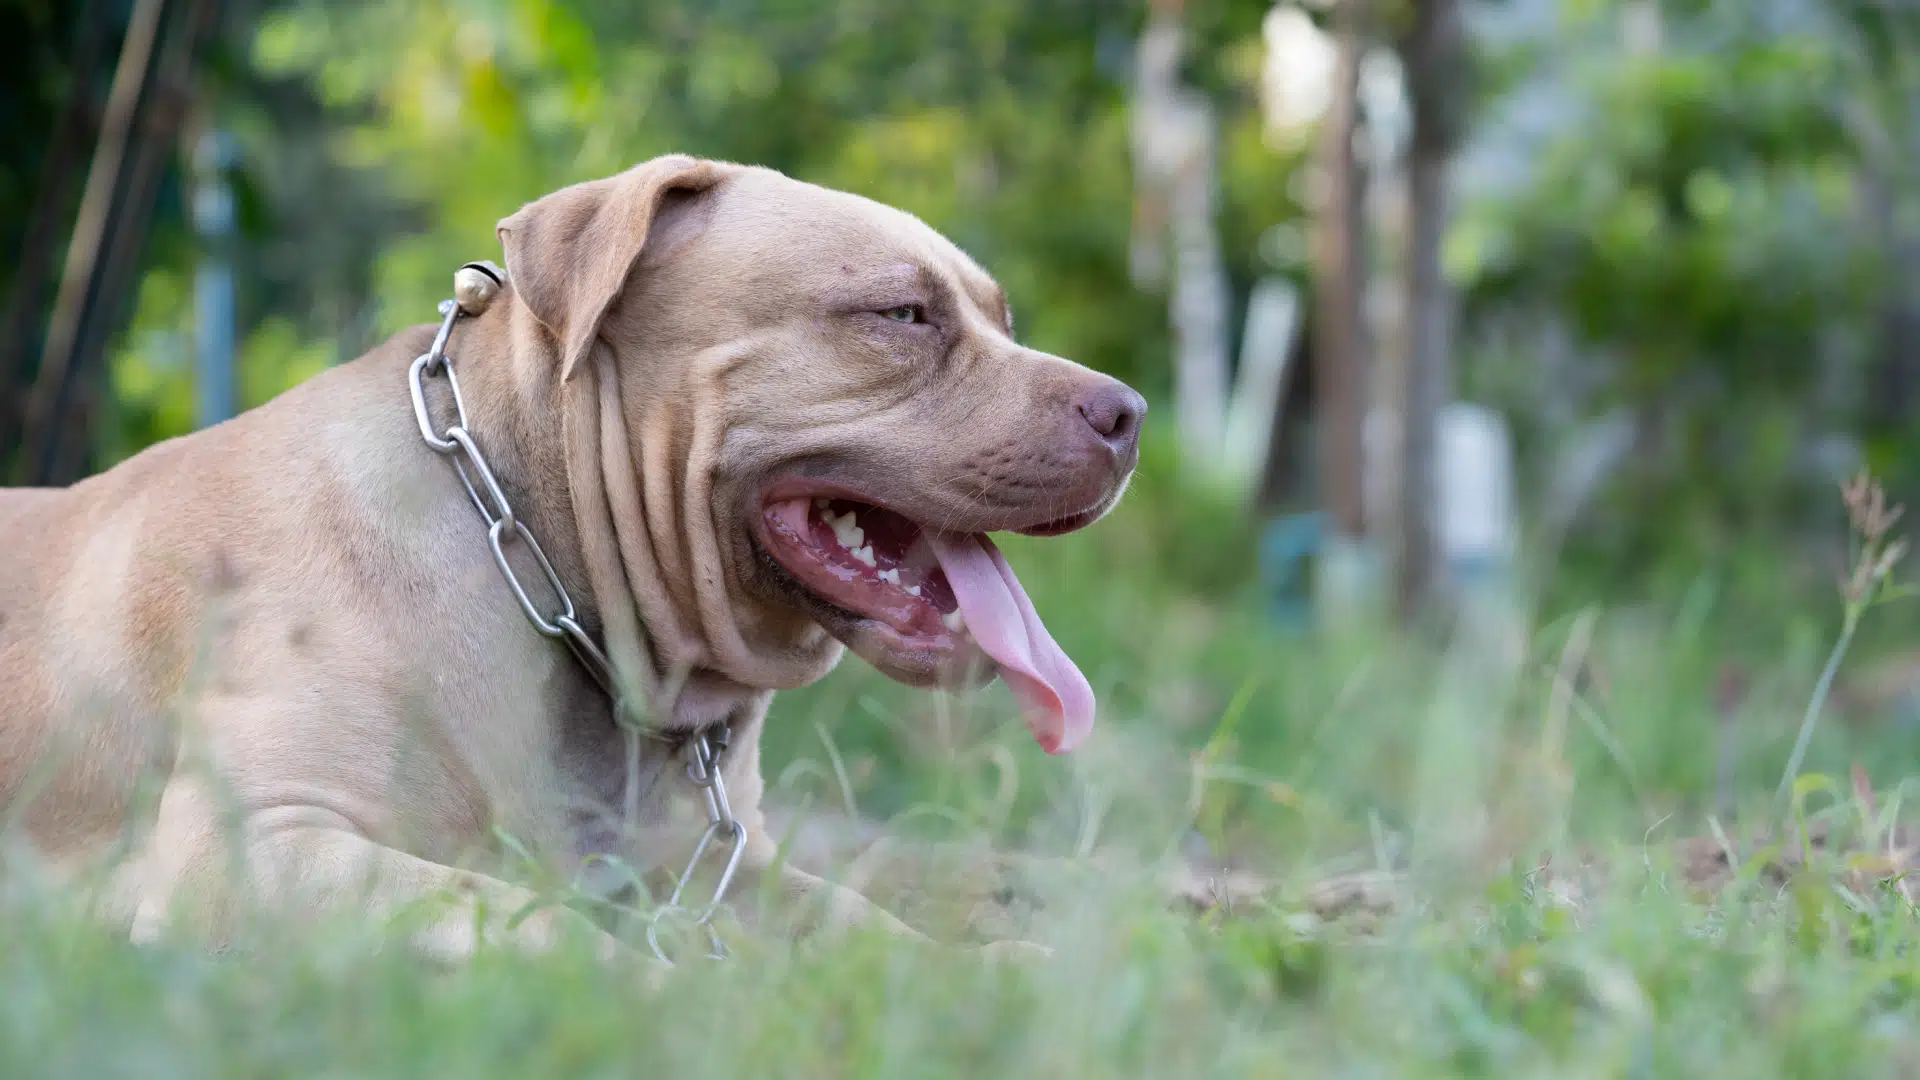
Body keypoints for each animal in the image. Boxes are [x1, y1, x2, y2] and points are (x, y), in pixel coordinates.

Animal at [0, 151, 1136, 957]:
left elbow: (870, 922)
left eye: (1001, 317)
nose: (1129, 412)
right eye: (903, 314)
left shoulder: (726, 869)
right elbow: (541, 929)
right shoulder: (253, 851)